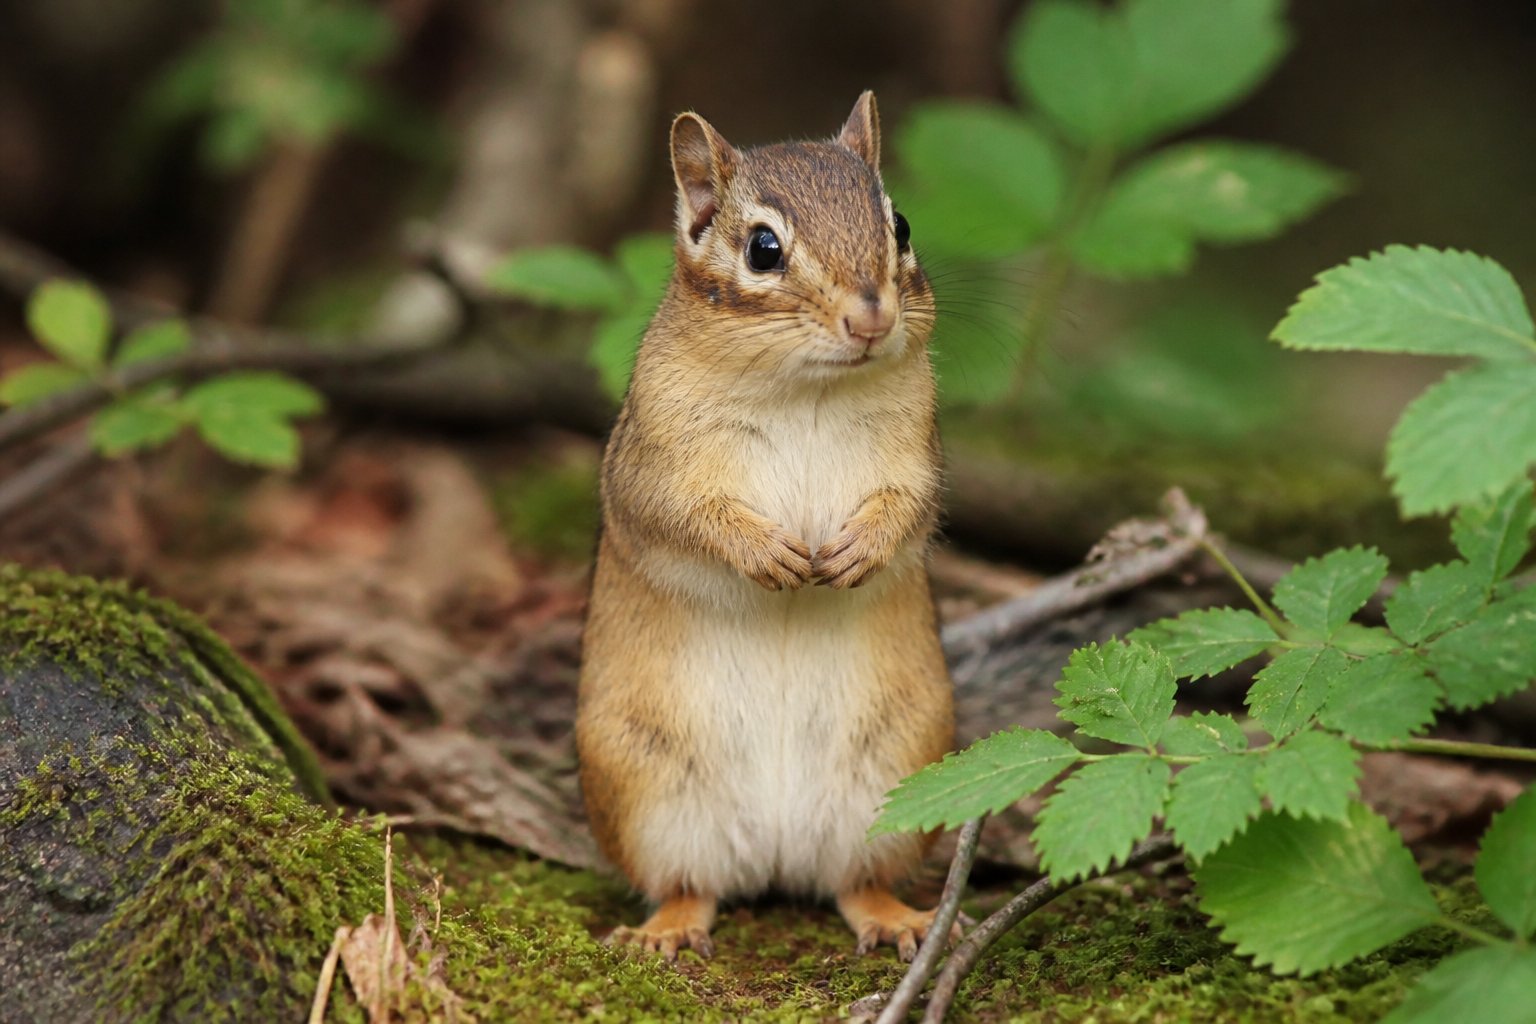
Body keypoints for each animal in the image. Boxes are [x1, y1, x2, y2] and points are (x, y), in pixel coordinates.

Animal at [575, 91, 955, 962]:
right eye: (763, 248)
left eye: (902, 225)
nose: (871, 316)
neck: (805, 389)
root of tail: (778, 857)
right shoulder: (654, 466)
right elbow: (682, 516)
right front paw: (768, 553)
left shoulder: (917, 455)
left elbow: (911, 509)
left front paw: (856, 551)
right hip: (642, 786)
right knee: (690, 884)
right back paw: (665, 931)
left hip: (899, 769)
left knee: (854, 880)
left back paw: (894, 917)